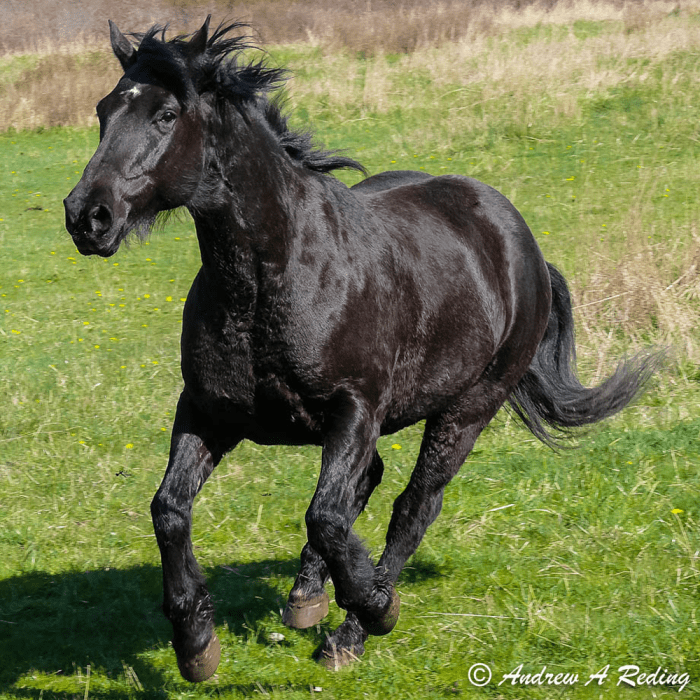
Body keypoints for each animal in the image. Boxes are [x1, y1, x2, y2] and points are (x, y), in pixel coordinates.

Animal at [64, 17, 659, 681]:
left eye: (167, 115)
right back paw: (306, 595)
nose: (86, 216)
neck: (272, 280)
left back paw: (350, 630)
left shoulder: (354, 409)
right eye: (104, 110)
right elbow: (170, 509)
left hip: (466, 409)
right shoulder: (208, 411)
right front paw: (195, 641)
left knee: (412, 506)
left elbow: (326, 515)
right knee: (363, 487)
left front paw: (375, 607)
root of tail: (523, 245)